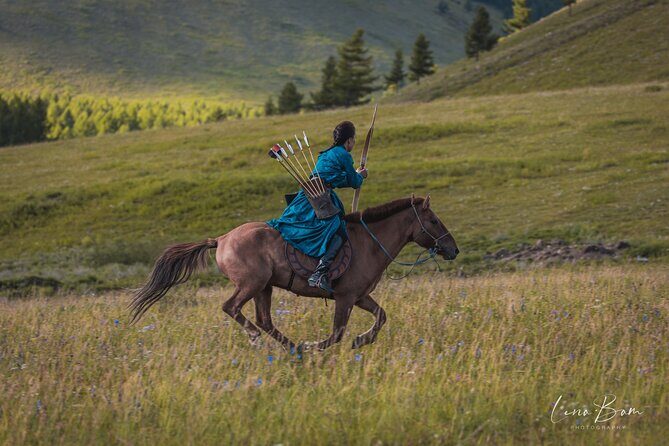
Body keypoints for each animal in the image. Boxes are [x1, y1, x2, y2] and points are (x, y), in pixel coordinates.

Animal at [129, 194, 459, 351]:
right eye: (434, 221)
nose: (453, 249)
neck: (370, 242)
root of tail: (221, 239)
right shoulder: (345, 297)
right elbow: (336, 333)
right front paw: (316, 347)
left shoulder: (360, 296)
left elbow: (381, 317)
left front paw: (361, 341)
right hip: (251, 284)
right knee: (232, 308)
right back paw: (267, 340)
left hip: (264, 287)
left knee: (265, 320)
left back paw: (293, 349)